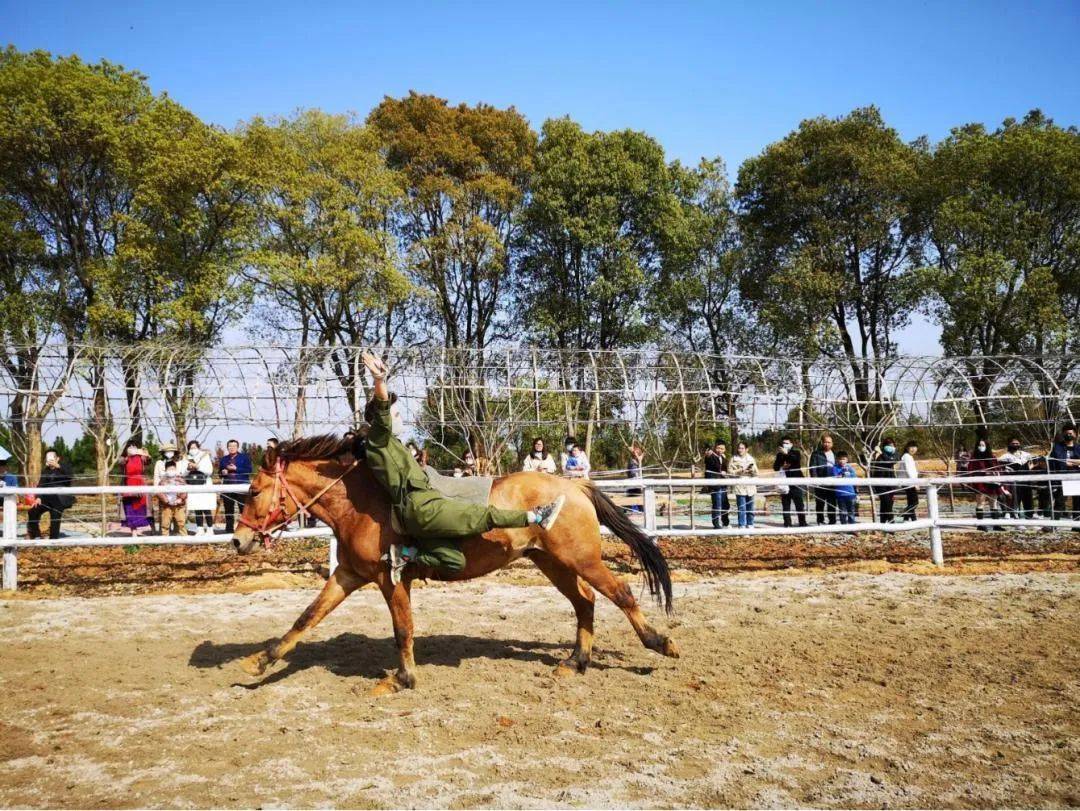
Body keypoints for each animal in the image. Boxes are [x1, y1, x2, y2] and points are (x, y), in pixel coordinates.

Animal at [233, 434, 678, 695]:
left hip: (581, 559)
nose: (238, 540)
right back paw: (575, 662)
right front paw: (261, 661)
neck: (363, 503)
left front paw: (403, 679)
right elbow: (307, 617)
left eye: (254, 491)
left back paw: (661, 643)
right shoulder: (348, 575)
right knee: (585, 602)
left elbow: (402, 629)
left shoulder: (389, 579)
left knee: (620, 594)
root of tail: (575, 487)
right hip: (553, 563)